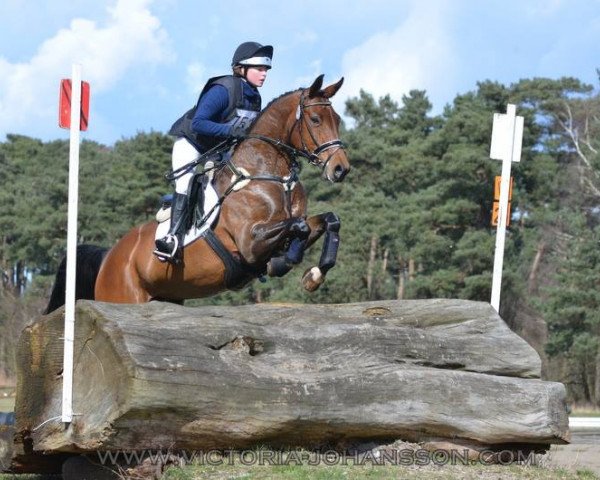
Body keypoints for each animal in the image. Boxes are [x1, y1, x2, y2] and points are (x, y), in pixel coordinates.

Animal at [45, 74, 352, 316]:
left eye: (337, 119)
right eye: (315, 119)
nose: (341, 169)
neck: (272, 175)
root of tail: (109, 255)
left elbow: (329, 220)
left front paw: (313, 276)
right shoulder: (250, 243)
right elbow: (298, 228)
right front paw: (281, 263)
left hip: (167, 296)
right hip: (123, 296)